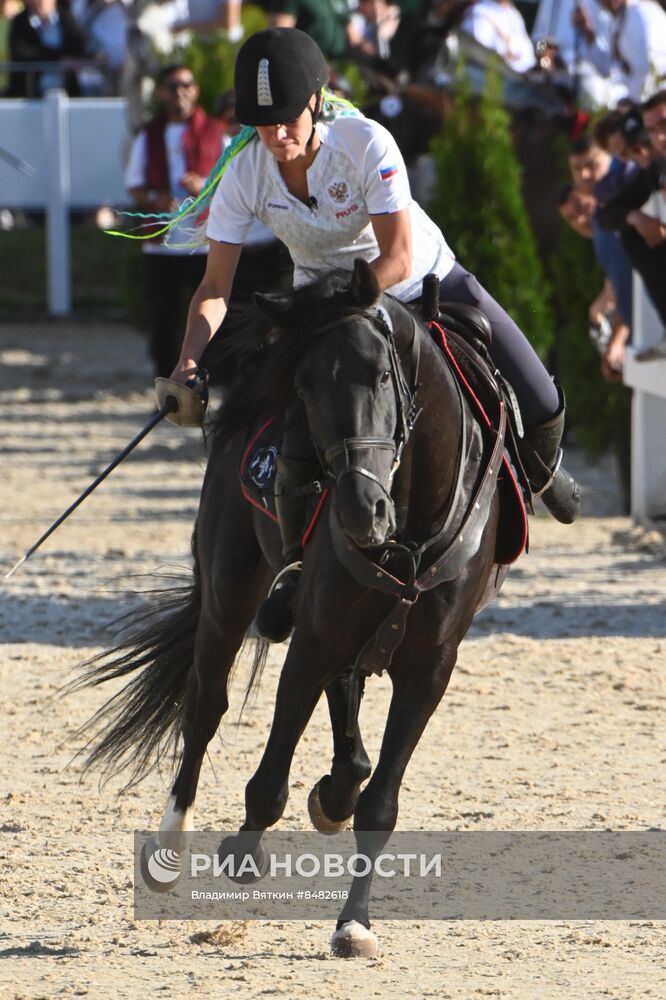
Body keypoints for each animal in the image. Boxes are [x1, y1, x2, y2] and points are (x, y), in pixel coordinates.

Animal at [74, 256, 508, 952]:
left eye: (382, 375)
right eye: (303, 389)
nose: (360, 511)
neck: (410, 528)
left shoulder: (431, 665)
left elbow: (381, 803)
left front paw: (355, 923)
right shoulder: (316, 634)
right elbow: (269, 776)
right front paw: (242, 853)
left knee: (346, 708)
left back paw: (336, 791)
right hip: (230, 591)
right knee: (207, 704)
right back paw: (172, 845)